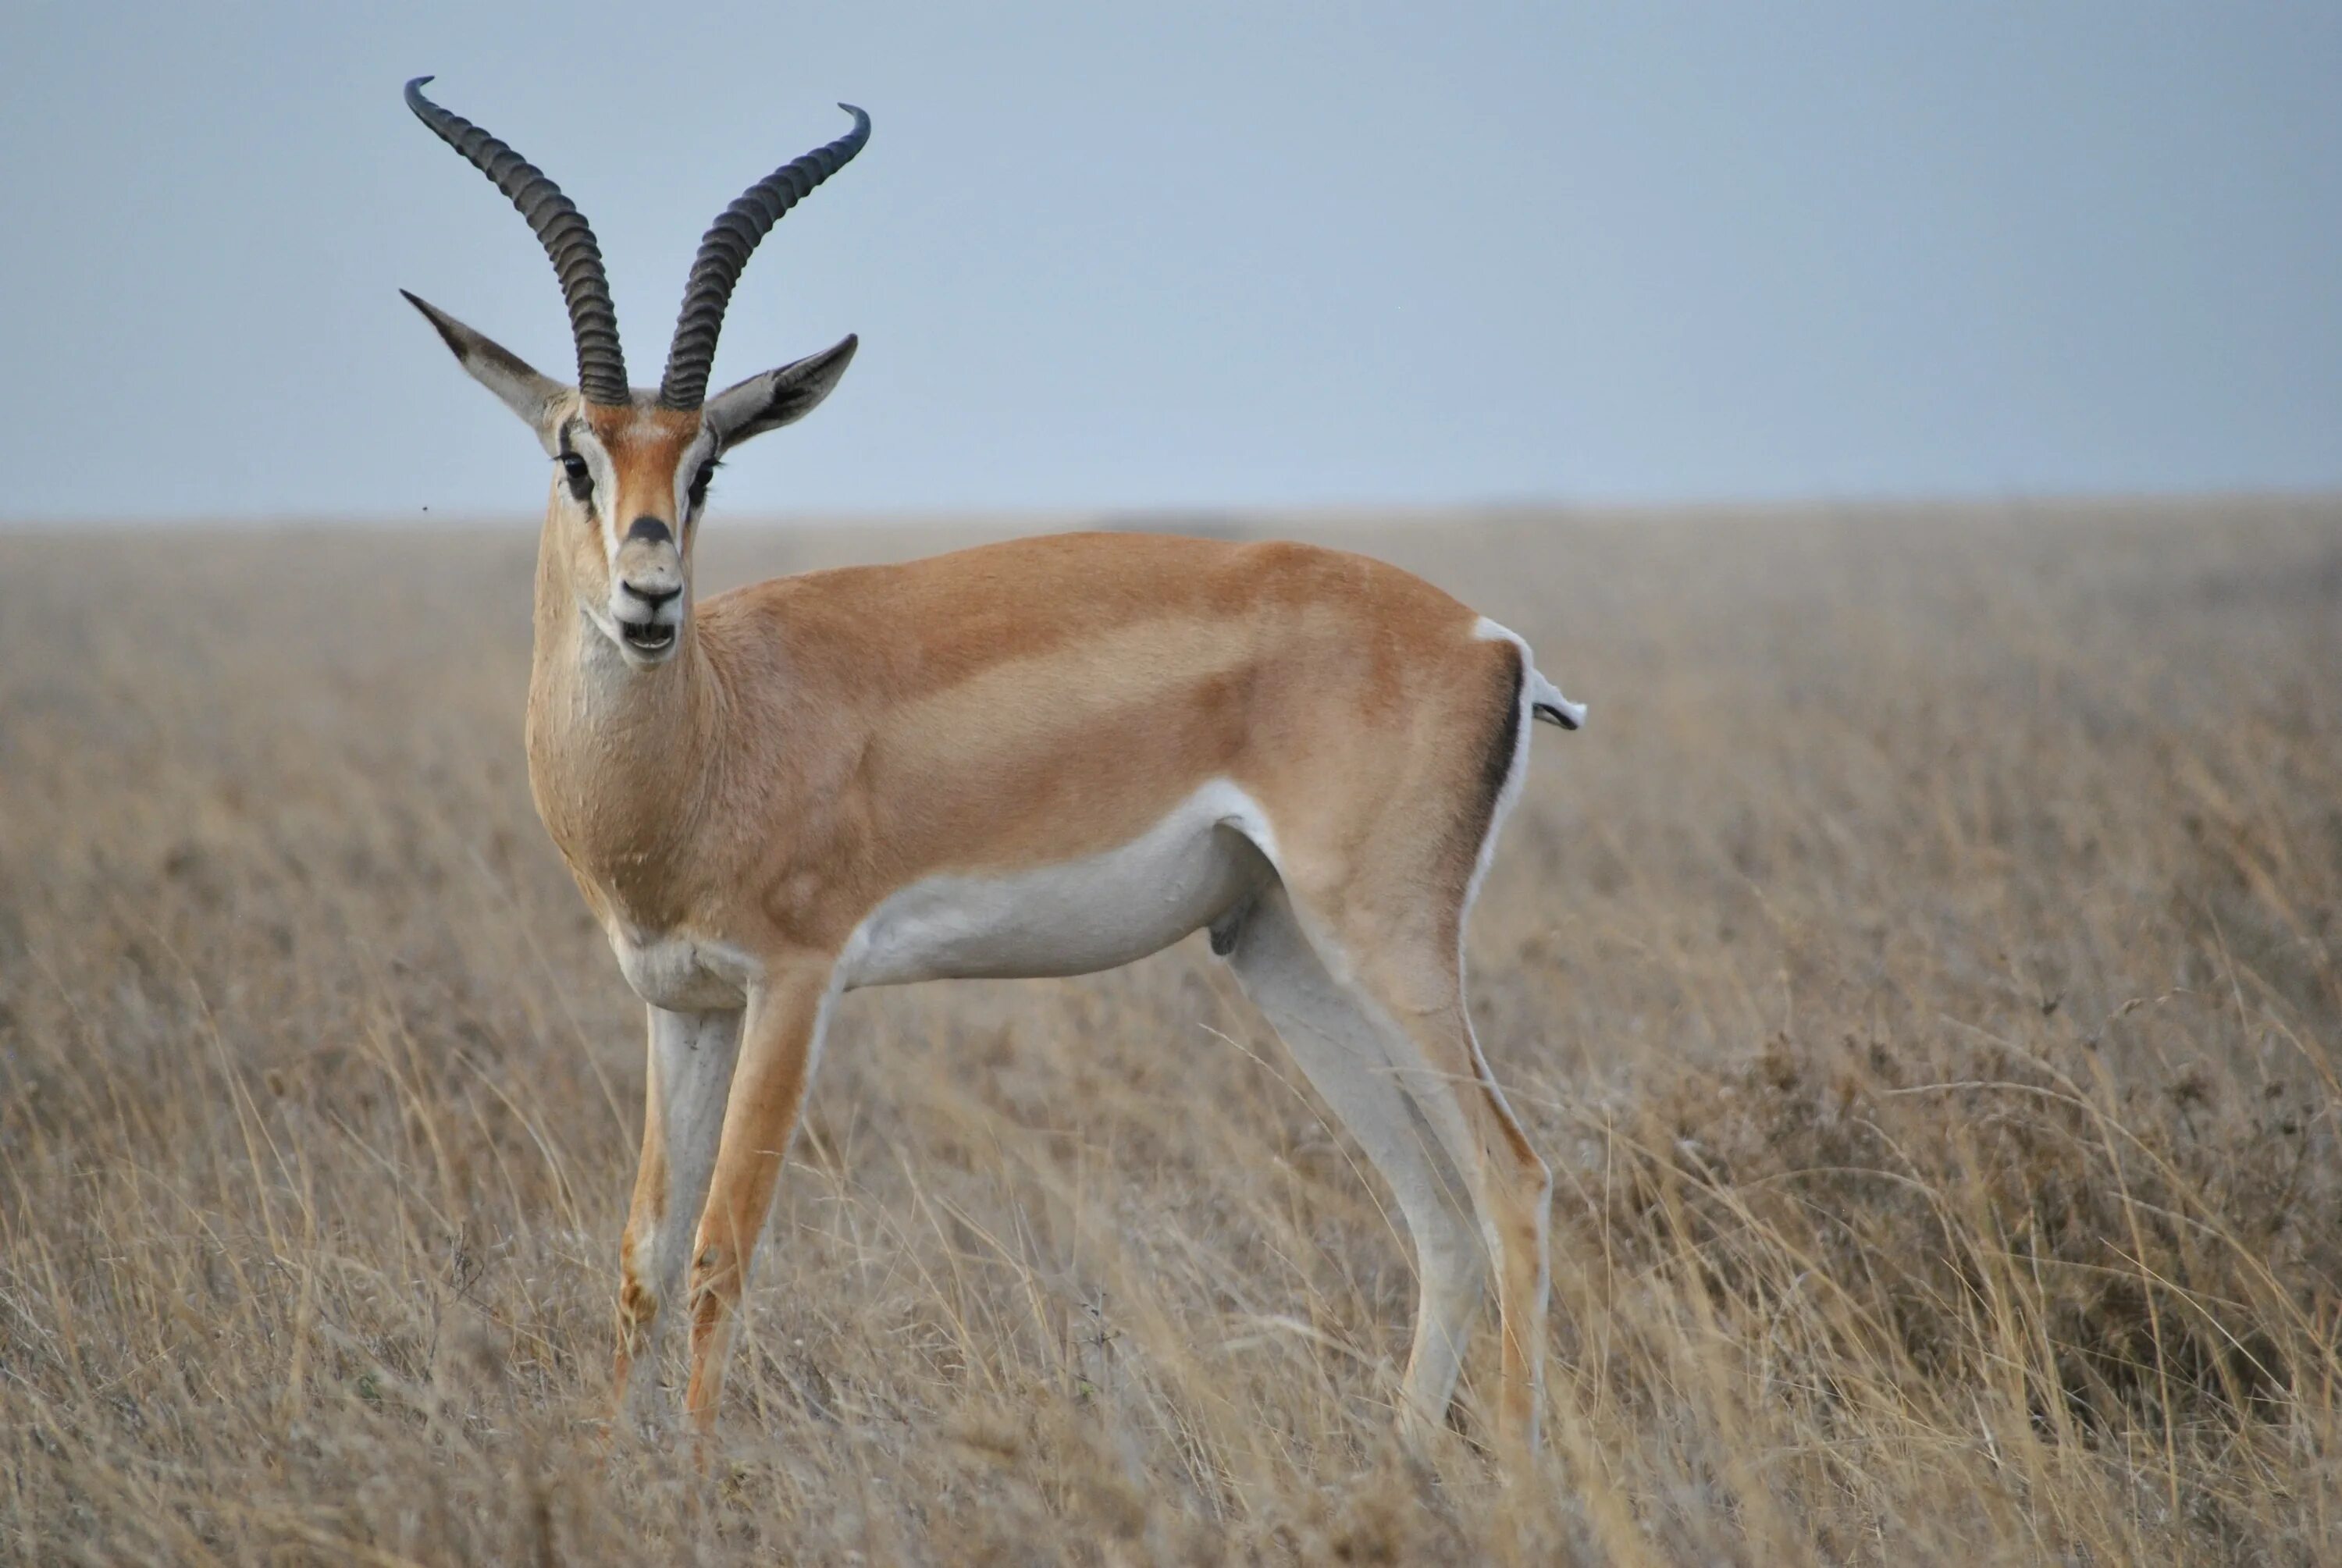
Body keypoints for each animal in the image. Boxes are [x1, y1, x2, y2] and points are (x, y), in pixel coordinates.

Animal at [408, 79, 1593, 1460]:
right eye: (574, 456)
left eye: (708, 464)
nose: (650, 598)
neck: (720, 725)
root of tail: (1492, 642)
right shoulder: (681, 1003)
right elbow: (642, 1258)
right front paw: (611, 1476)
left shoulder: (795, 983)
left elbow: (720, 1252)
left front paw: (696, 1479)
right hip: (1281, 950)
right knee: (1438, 1212)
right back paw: (1400, 1468)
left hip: (1387, 941)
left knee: (1512, 1179)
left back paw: (1513, 1470)